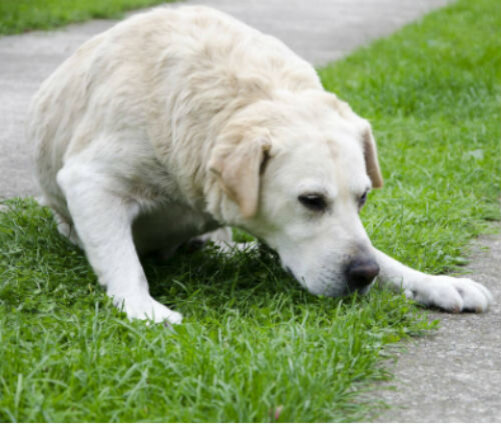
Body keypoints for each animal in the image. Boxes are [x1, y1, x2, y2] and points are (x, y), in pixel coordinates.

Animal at [28, 4, 492, 324]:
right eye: (311, 200)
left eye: (362, 198)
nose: (363, 274)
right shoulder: (90, 181)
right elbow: (123, 260)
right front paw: (143, 309)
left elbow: (384, 255)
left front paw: (433, 282)